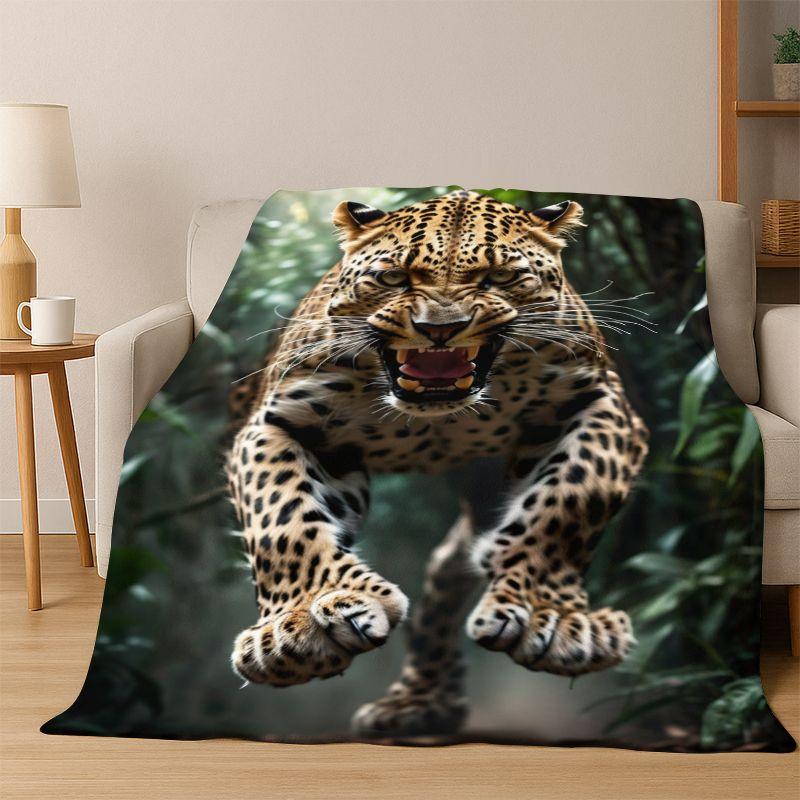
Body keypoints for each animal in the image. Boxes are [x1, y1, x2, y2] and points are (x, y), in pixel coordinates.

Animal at [226, 189, 649, 739]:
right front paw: (301, 626)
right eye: (394, 278)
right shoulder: (283, 424)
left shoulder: (600, 402)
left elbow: (570, 500)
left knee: (457, 563)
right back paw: (417, 703)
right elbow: (282, 521)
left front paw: (550, 619)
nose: (440, 330)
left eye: (498, 277)